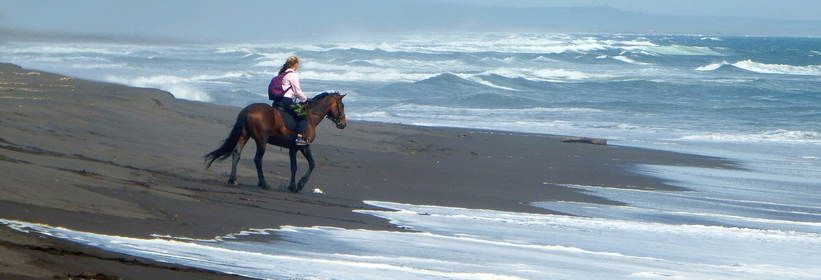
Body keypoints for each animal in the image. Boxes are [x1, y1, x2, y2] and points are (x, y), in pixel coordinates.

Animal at [207, 92, 348, 192]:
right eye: (341, 106)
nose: (343, 124)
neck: (310, 116)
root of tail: (247, 110)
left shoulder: (293, 148)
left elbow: (294, 167)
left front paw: (292, 186)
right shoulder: (304, 146)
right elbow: (312, 164)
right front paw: (300, 184)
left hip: (244, 136)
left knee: (236, 154)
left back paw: (233, 179)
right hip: (262, 141)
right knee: (258, 159)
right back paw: (263, 183)